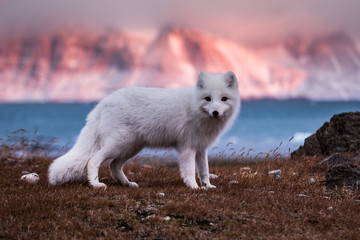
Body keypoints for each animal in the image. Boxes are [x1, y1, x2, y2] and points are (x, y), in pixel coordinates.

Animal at [47, 71, 239, 189]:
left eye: (223, 99)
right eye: (208, 98)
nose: (215, 112)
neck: (194, 108)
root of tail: (102, 103)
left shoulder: (201, 148)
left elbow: (204, 170)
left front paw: (207, 186)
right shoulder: (187, 148)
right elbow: (190, 171)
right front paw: (193, 187)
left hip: (131, 147)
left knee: (113, 165)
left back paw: (127, 184)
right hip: (119, 144)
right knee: (93, 160)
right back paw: (96, 185)